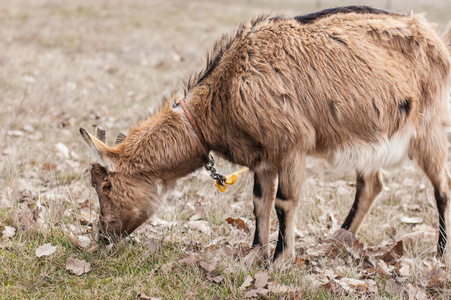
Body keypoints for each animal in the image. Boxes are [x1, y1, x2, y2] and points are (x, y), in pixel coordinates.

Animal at [79, 5, 451, 266]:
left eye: (105, 186)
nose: (103, 236)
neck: (226, 90)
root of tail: (433, 35)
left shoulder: (291, 145)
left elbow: (284, 202)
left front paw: (279, 262)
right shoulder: (262, 156)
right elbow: (260, 202)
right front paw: (252, 256)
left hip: (427, 126)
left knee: (441, 185)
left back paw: (440, 254)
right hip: (368, 136)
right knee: (371, 184)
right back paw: (336, 241)